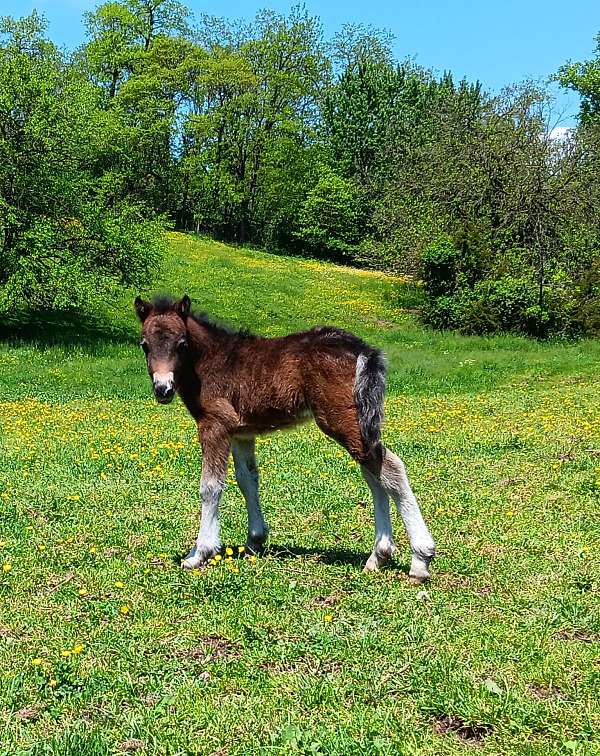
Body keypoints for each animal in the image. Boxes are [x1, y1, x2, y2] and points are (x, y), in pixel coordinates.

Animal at [135, 294, 436, 580]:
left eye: (182, 343)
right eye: (144, 345)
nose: (163, 389)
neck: (211, 361)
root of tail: (363, 349)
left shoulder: (215, 425)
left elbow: (210, 487)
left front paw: (199, 553)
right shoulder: (241, 433)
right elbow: (248, 481)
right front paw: (255, 540)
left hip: (341, 420)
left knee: (390, 468)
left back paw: (420, 560)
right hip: (360, 422)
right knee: (374, 474)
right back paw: (378, 556)